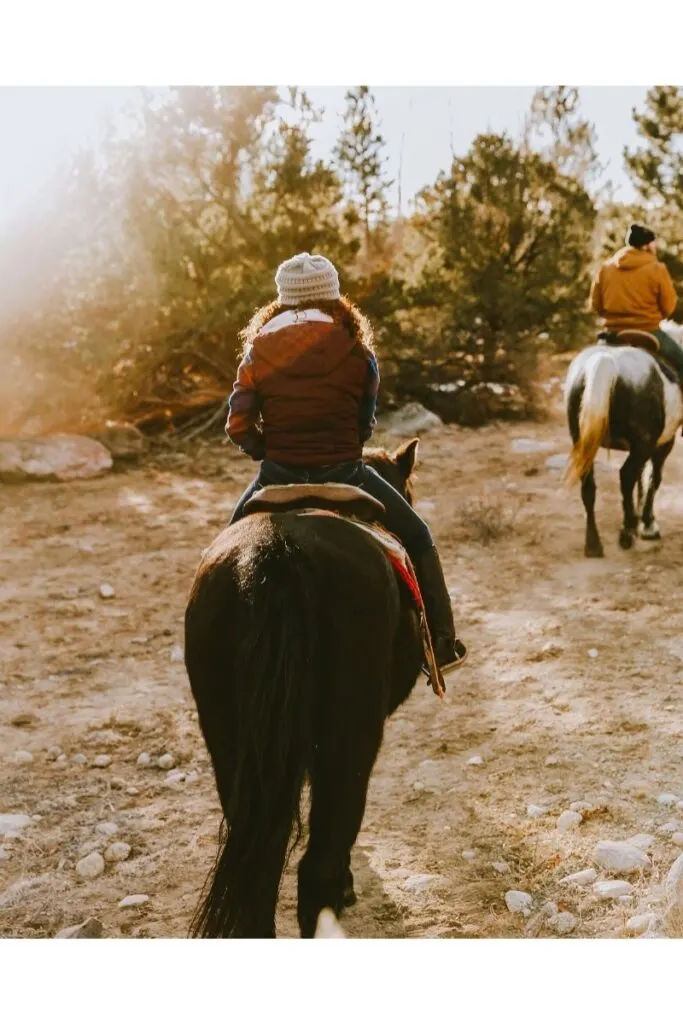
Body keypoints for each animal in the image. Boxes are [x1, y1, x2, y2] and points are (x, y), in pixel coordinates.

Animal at [565, 321, 683, 557]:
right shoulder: (663, 443)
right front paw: (647, 525)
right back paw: (627, 531)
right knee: (626, 475)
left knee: (589, 486)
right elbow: (652, 478)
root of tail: (605, 361)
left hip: (582, 442)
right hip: (643, 444)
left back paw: (593, 544)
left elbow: (642, 478)